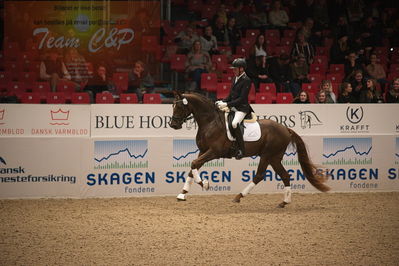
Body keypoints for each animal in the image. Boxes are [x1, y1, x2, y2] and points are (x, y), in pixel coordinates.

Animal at [170, 92, 332, 208]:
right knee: (284, 176)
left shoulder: (214, 152)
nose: (173, 125)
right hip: (274, 158)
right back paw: (284, 202)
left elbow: (194, 164)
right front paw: (182, 194)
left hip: (268, 155)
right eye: (173, 106)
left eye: (179, 107)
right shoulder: (203, 151)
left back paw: (239, 196)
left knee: (260, 175)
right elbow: (193, 167)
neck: (210, 122)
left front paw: (204, 183)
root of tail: (286, 129)